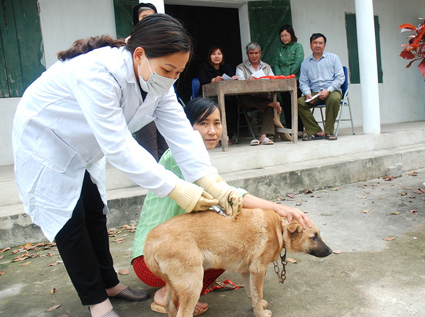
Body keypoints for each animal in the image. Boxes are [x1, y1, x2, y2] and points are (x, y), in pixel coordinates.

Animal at [144, 207, 332, 316]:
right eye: (314, 237)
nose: (330, 251)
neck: (279, 227)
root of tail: (151, 240)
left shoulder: (247, 271)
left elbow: (252, 293)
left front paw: (257, 306)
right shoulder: (258, 270)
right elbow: (257, 293)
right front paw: (261, 313)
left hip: (175, 283)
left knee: (169, 304)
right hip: (193, 284)